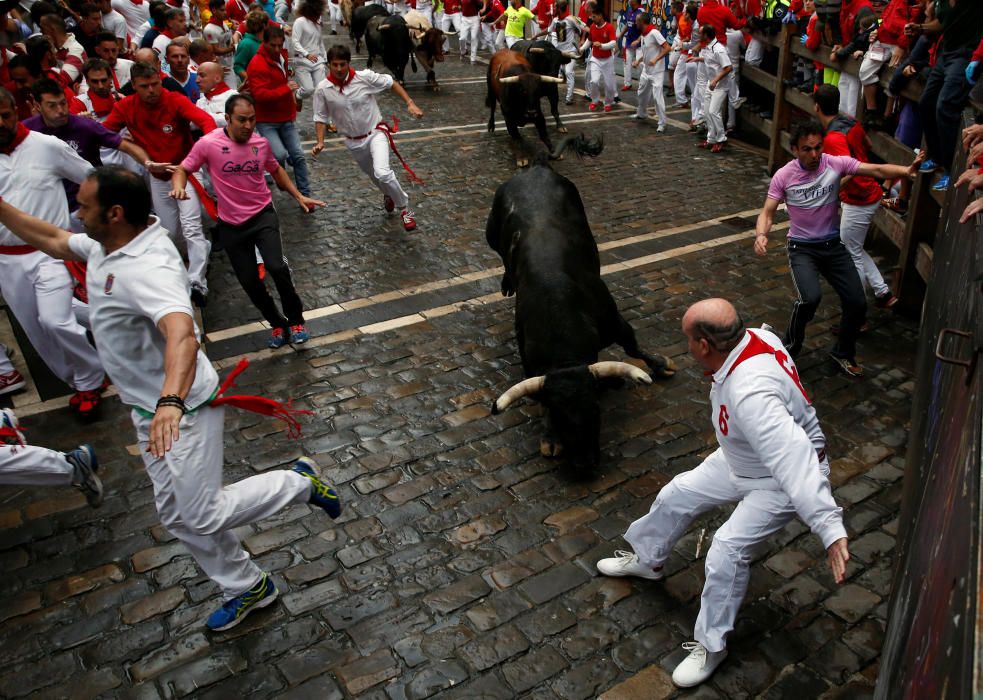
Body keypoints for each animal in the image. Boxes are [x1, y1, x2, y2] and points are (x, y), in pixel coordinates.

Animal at [486, 135, 676, 476]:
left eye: (596, 410)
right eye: (559, 416)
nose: (585, 465)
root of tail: (536, 167)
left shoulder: (616, 322)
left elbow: (633, 347)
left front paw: (659, 364)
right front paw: (550, 439)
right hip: (491, 233)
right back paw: (507, 282)